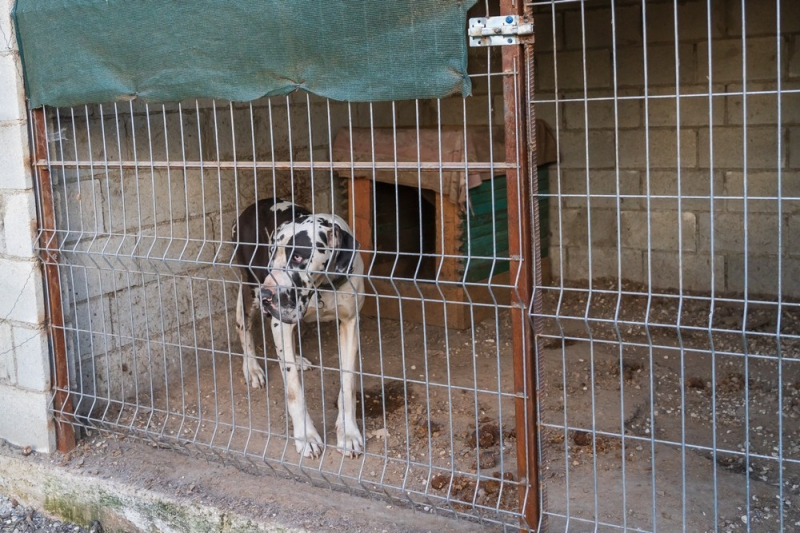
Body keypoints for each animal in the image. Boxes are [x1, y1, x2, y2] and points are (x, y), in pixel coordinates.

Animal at [231, 200, 366, 458]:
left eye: (298, 257)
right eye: (272, 253)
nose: (267, 295)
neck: (323, 286)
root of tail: (249, 208)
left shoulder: (350, 323)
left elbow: (349, 383)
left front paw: (348, 433)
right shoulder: (279, 324)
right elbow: (294, 389)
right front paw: (306, 436)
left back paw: (298, 359)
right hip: (250, 288)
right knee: (243, 325)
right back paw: (251, 368)